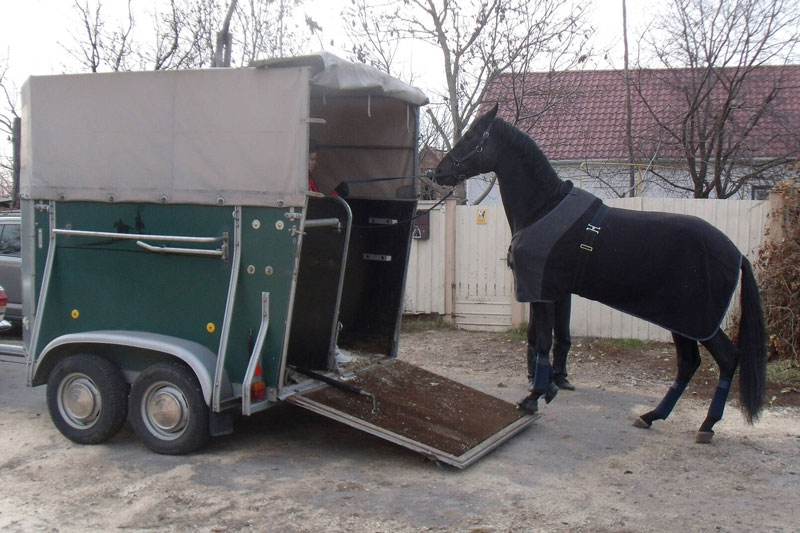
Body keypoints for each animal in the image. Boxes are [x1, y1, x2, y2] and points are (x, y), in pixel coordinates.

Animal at [434, 103, 767, 443]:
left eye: (471, 136)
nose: (438, 172)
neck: (544, 209)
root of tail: (735, 253)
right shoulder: (550, 293)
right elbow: (543, 339)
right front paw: (548, 388)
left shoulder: (541, 292)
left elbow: (542, 341)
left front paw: (534, 397)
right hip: (681, 321)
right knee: (689, 363)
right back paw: (653, 416)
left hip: (696, 321)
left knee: (725, 358)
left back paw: (706, 424)